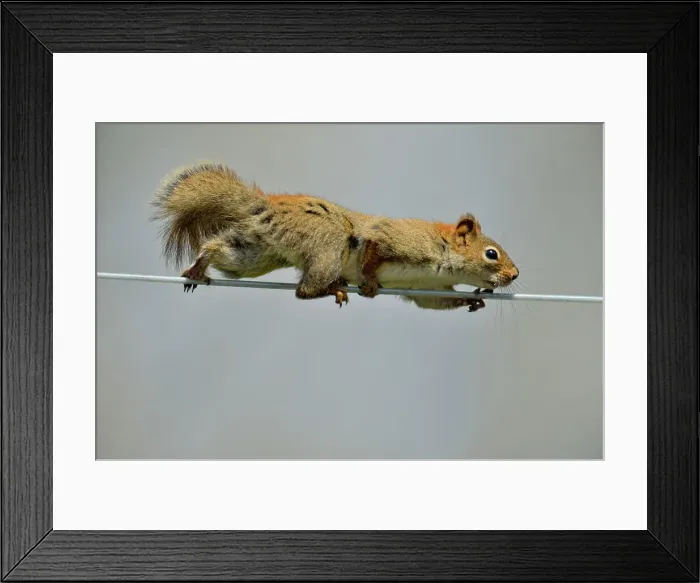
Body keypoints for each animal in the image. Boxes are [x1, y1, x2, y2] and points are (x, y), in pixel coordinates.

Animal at [151, 163, 519, 312]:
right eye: (491, 254)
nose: (515, 274)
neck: (442, 254)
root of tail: (266, 205)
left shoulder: (427, 287)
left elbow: (434, 301)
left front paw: (474, 299)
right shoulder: (394, 240)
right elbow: (372, 250)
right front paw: (369, 281)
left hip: (258, 253)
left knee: (221, 252)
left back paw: (199, 266)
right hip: (328, 243)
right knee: (303, 291)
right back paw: (332, 288)